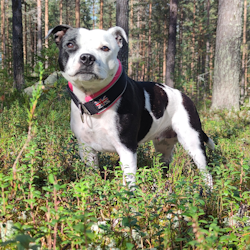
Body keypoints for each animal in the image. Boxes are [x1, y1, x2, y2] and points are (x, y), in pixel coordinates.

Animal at [46, 24, 214, 189]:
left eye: (105, 48)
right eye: (70, 44)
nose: (87, 57)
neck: (95, 101)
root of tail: (184, 96)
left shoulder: (127, 149)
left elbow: (129, 182)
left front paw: (129, 197)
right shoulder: (87, 150)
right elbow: (92, 175)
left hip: (193, 142)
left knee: (206, 172)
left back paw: (207, 191)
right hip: (163, 146)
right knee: (164, 167)